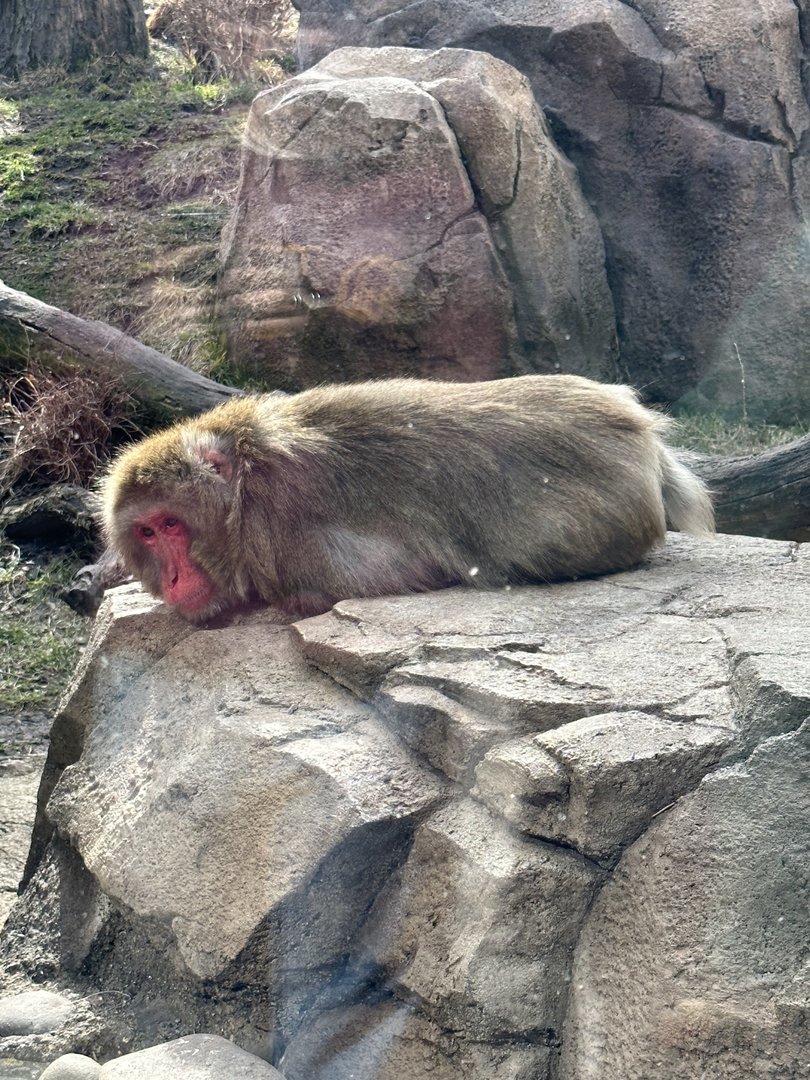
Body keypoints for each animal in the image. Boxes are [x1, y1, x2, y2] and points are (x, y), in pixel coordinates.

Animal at [100, 375, 714, 622]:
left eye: (172, 525)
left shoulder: (281, 533)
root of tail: (642, 430)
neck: (246, 479)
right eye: (147, 532)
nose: (172, 578)